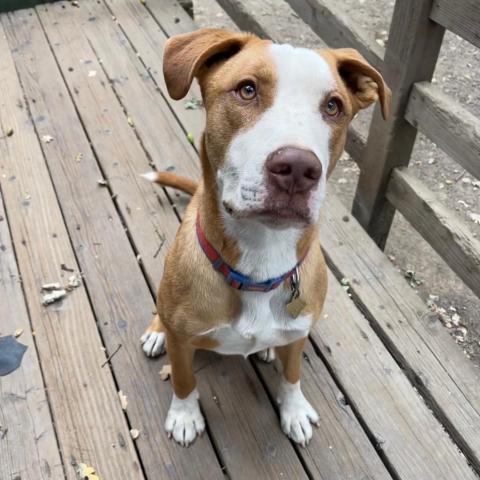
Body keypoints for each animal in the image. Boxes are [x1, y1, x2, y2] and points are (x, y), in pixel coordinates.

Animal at [140, 28, 390, 448]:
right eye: (247, 89)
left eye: (333, 106)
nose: (299, 168)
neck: (261, 259)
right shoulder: (184, 343)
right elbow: (184, 379)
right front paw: (184, 415)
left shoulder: (299, 334)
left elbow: (292, 376)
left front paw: (294, 411)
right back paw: (157, 333)